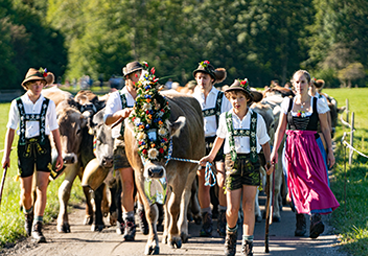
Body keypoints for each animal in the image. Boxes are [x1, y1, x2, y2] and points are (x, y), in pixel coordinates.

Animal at [123, 62, 204, 254]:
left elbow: (175, 206)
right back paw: (166, 233)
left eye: (165, 139)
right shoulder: (140, 175)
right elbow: (152, 210)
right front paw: (153, 243)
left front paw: (175, 237)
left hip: (192, 171)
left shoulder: (181, 174)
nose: (155, 170)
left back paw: (181, 231)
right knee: (166, 204)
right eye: (141, 140)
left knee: (185, 198)